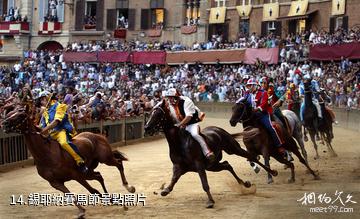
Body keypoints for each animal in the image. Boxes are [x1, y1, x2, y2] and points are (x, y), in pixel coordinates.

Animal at [1, 107, 135, 218]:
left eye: (21, 115)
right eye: (10, 113)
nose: (4, 123)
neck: (46, 155)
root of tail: (97, 135)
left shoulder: (75, 175)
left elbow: (92, 190)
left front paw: (119, 203)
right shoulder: (55, 182)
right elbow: (72, 195)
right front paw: (82, 211)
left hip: (105, 159)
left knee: (118, 164)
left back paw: (129, 187)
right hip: (88, 170)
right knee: (99, 176)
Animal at [142, 100, 278, 208]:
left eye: (158, 114)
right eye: (151, 112)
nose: (146, 127)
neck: (179, 143)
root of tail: (219, 130)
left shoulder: (199, 165)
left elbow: (205, 184)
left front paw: (210, 201)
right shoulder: (179, 166)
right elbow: (174, 179)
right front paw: (165, 190)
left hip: (233, 149)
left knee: (251, 157)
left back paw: (272, 173)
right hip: (212, 165)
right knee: (227, 165)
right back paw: (245, 183)